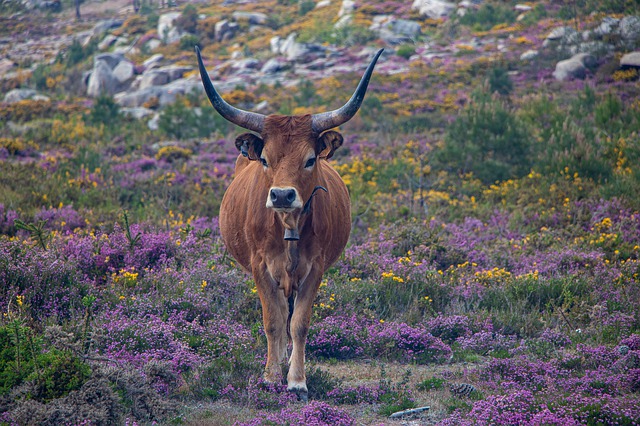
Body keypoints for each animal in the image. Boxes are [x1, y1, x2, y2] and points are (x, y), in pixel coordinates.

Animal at [196, 46, 383, 400]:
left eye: (309, 159)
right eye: (265, 159)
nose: (282, 194)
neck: (289, 225)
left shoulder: (315, 267)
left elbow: (299, 323)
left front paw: (296, 380)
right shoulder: (260, 265)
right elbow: (273, 320)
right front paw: (271, 377)